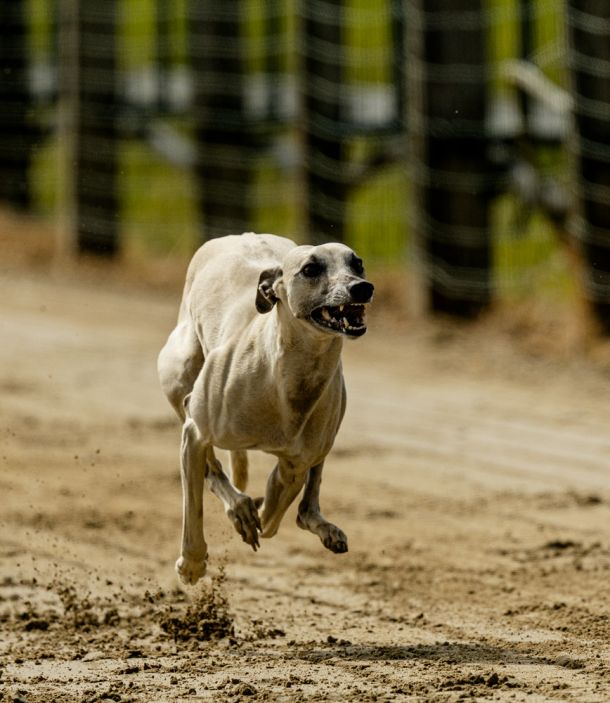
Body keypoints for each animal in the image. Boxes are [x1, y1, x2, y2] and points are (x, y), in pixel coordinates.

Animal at [158, 233, 374, 585]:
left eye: (357, 263)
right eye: (310, 269)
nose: (362, 288)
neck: (287, 377)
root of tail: (236, 235)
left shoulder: (295, 464)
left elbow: (273, 513)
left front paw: (257, 513)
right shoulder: (196, 431)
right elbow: (195, 504)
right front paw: (192, 563)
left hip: (329, 432)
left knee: (305, 505)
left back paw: (317, 525)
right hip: (179, 378)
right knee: (211, 468)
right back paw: (238, 510)